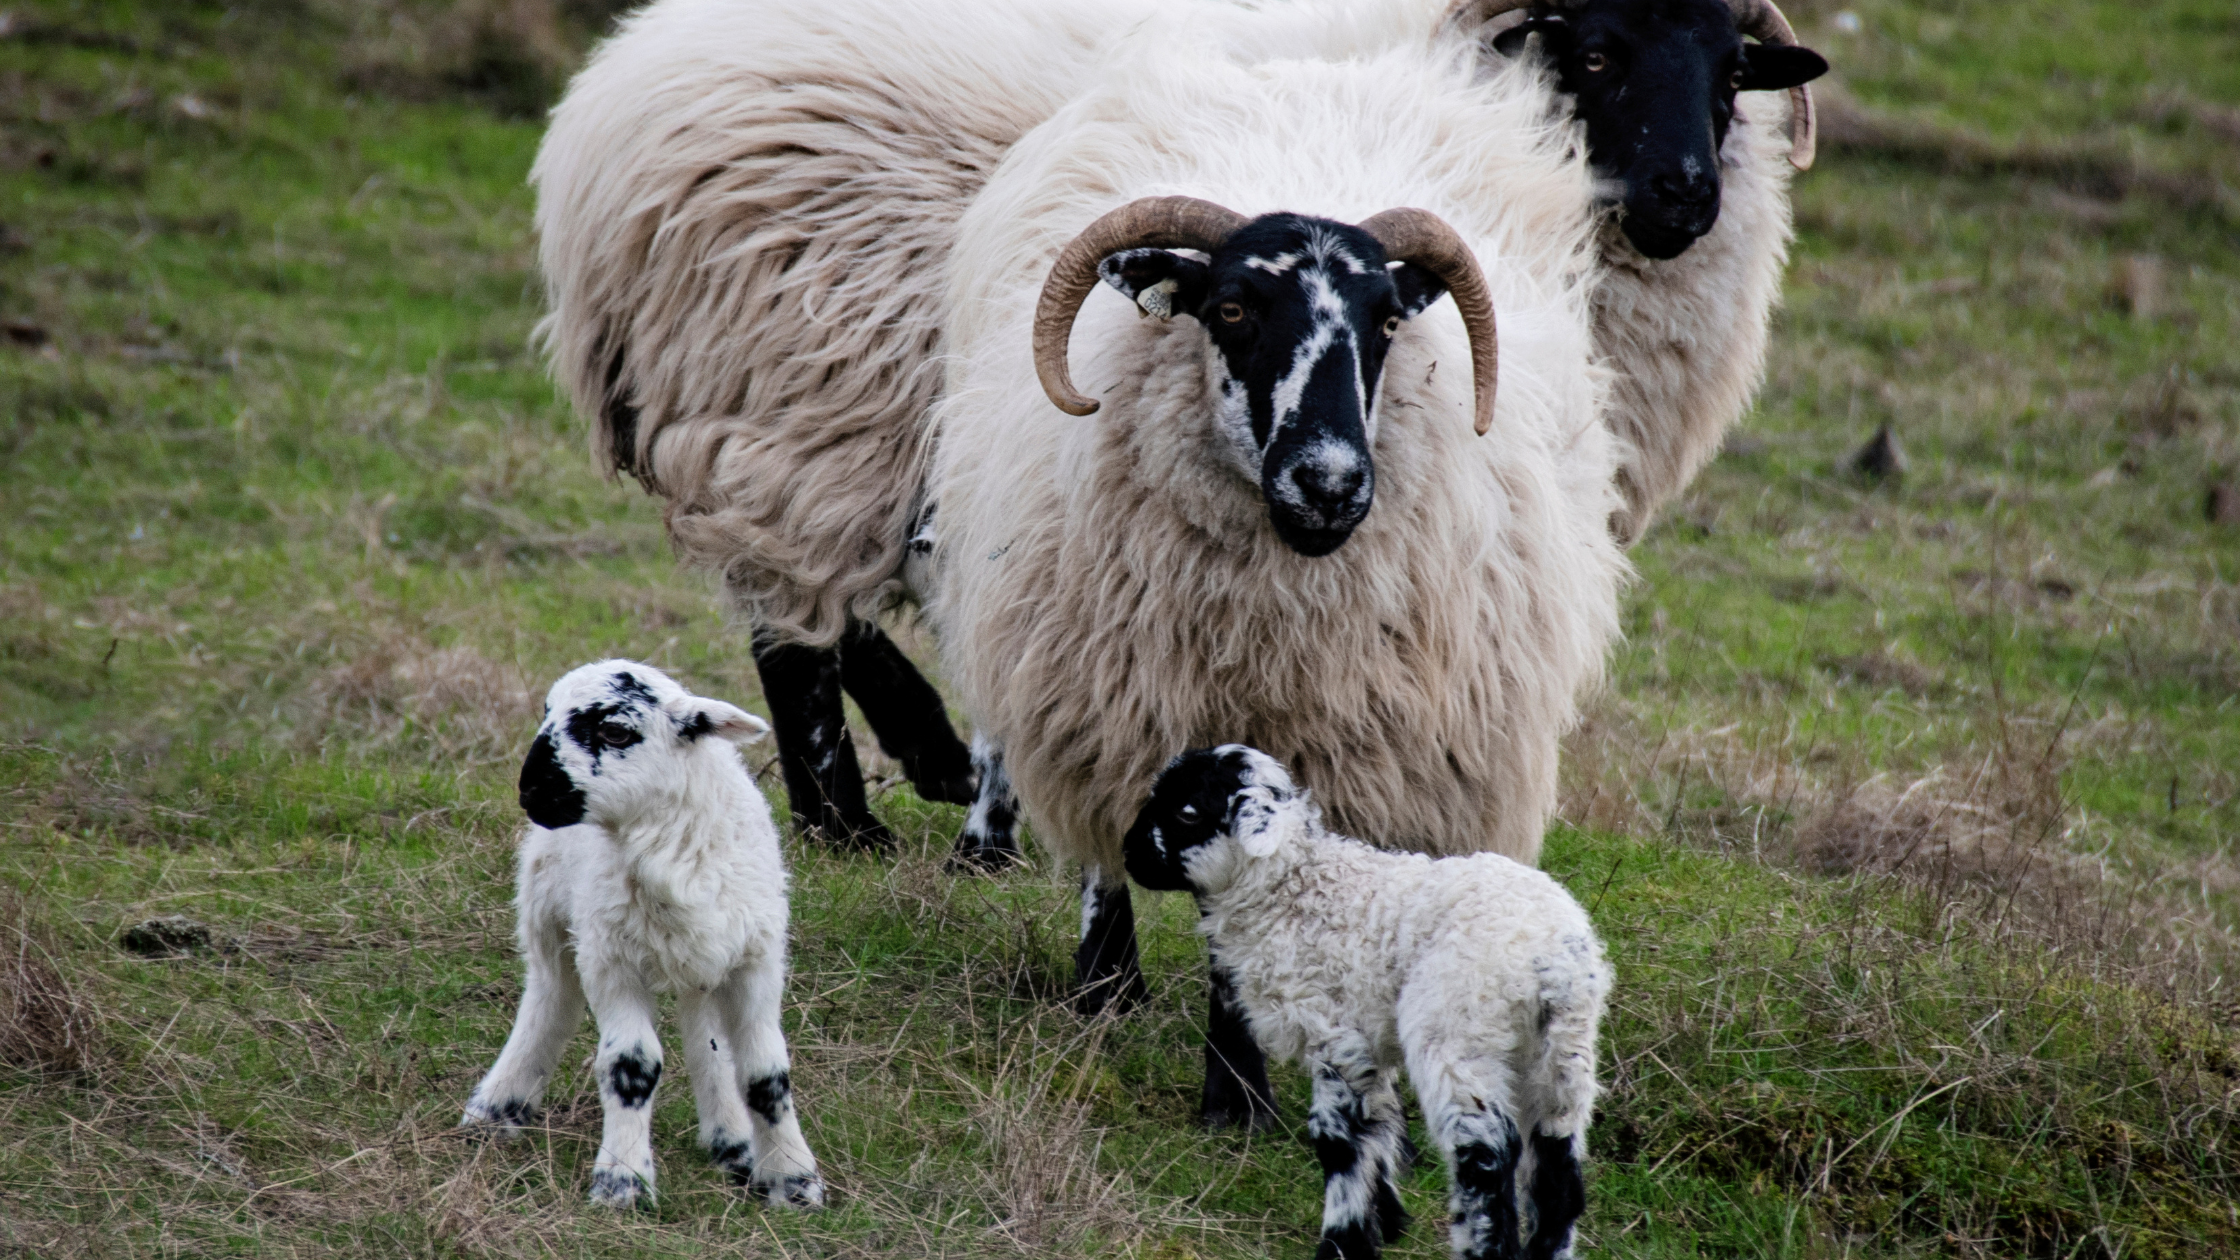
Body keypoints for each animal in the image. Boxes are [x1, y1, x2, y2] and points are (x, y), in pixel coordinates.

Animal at [461, 661, 824, 1211]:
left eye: (615, 731)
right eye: (545, 714)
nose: (531, 790)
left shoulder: (755, 961)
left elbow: (765, 1073)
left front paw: (794, 1180)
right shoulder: (611, 960)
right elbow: (631, 1065)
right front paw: (623, 1182)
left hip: (700, 963)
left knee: (705, 1037)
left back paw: (732, 1144)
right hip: (548, 913)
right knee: (550, 1001)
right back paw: (495, 1109)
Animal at [923, 35, 1626, 1127]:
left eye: (1387, 322)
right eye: (1231, 307)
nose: (1329, 483)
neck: (1275, 627)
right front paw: (1233, 1095)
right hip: (1081, 676)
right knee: (1098, 841)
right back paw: (1106, 986)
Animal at [1123, 745, 1612, 1260]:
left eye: (1187, 811)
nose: (1129, 854)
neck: (1288, 889)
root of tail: (1554, 959)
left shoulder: (1334, 1034)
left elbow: (1339, 1142)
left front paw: (1342, 1242)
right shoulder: (1368, 1045)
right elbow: (1380, 1128)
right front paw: (1386, 1222)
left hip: (1458, 1032)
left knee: (1485, 1156)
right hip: (1562, 1054)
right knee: (1558, 1168)